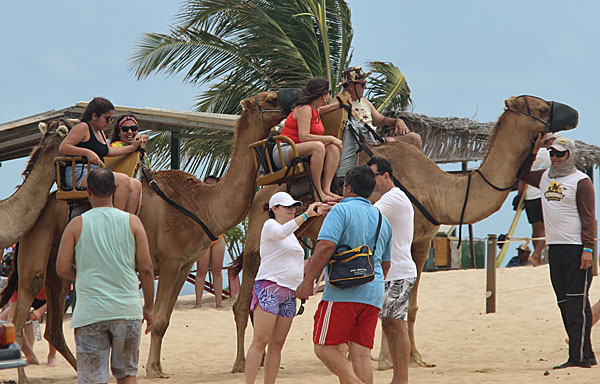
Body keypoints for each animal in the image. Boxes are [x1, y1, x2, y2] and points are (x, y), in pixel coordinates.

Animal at [9, 91, 288, 380]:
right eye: (270, 99)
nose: (293, 101)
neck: (202, 204)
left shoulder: (185, 263)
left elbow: (165, 319)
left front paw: (156, 366)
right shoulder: (169, 261)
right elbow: (159, 319)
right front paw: (153, 369)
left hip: (59, 267)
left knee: (54, 327)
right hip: (36, 251)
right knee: (22, 311)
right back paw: (26, 378)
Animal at [229, 94, 576, 374]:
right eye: (541, 107)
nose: (574, 113)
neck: (437, 190)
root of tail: (261, 190)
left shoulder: (421, 243)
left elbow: (411, 305)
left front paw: (415, 358)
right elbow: (386, 303)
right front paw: (386, 361)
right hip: (258, 236)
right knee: (243, 298)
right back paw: (242, 363)